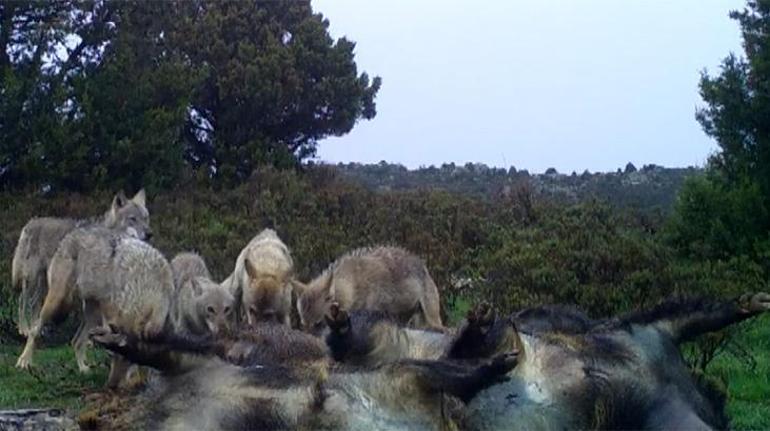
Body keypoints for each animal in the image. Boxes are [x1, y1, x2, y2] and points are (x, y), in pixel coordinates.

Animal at [12, 191, 149, 340]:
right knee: (23, 301)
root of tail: (29, 223)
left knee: (34, 305)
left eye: (145, 218)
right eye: (133, 219)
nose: (149, 234)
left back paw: (37, 329)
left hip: (44, 283)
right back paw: (25, 330)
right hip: (33, 281)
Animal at [16, 226, 174, 388]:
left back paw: (83, 370)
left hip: (92, 315)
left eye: (129, 358)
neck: (148, 288)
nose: (111, 386)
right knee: (35, 330)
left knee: (76, 341)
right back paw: (24, 361)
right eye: (110, 355)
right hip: (57, 302)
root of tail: (72, 233)